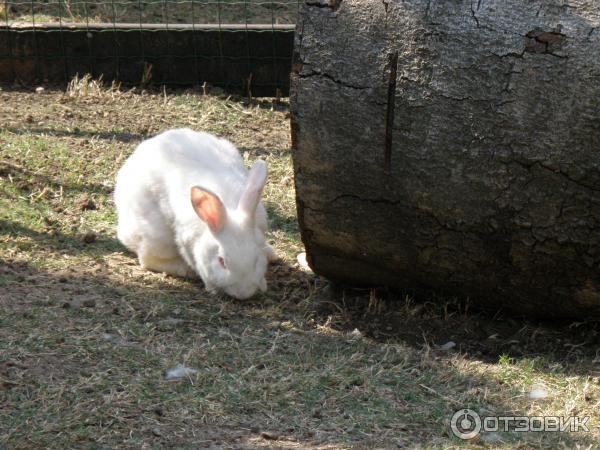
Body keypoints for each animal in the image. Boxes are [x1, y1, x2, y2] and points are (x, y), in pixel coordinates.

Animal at [113, 128, 276, 300]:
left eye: (256, 260)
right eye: (221, 261)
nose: (243, 293)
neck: (229, 209)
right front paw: (211, 288)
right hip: (156, 236)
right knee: (148, 259)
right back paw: (184, 270)